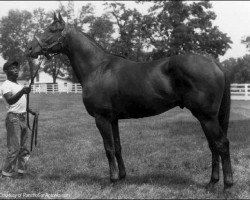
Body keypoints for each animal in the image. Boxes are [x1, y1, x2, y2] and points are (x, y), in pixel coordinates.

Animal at [27, 13, 232, 190]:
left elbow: (108, 148)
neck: (97, 68)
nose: (29, 49)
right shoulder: (113, 119)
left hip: (206, 116)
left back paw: (227, 185)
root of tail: (215, 64)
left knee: (221, 144)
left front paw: (113, 180)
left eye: (52, 29)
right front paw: (123, 177)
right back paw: (212, 183)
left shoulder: (101, 118)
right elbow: (118, 147)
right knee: (213, 146)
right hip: (206, 118)